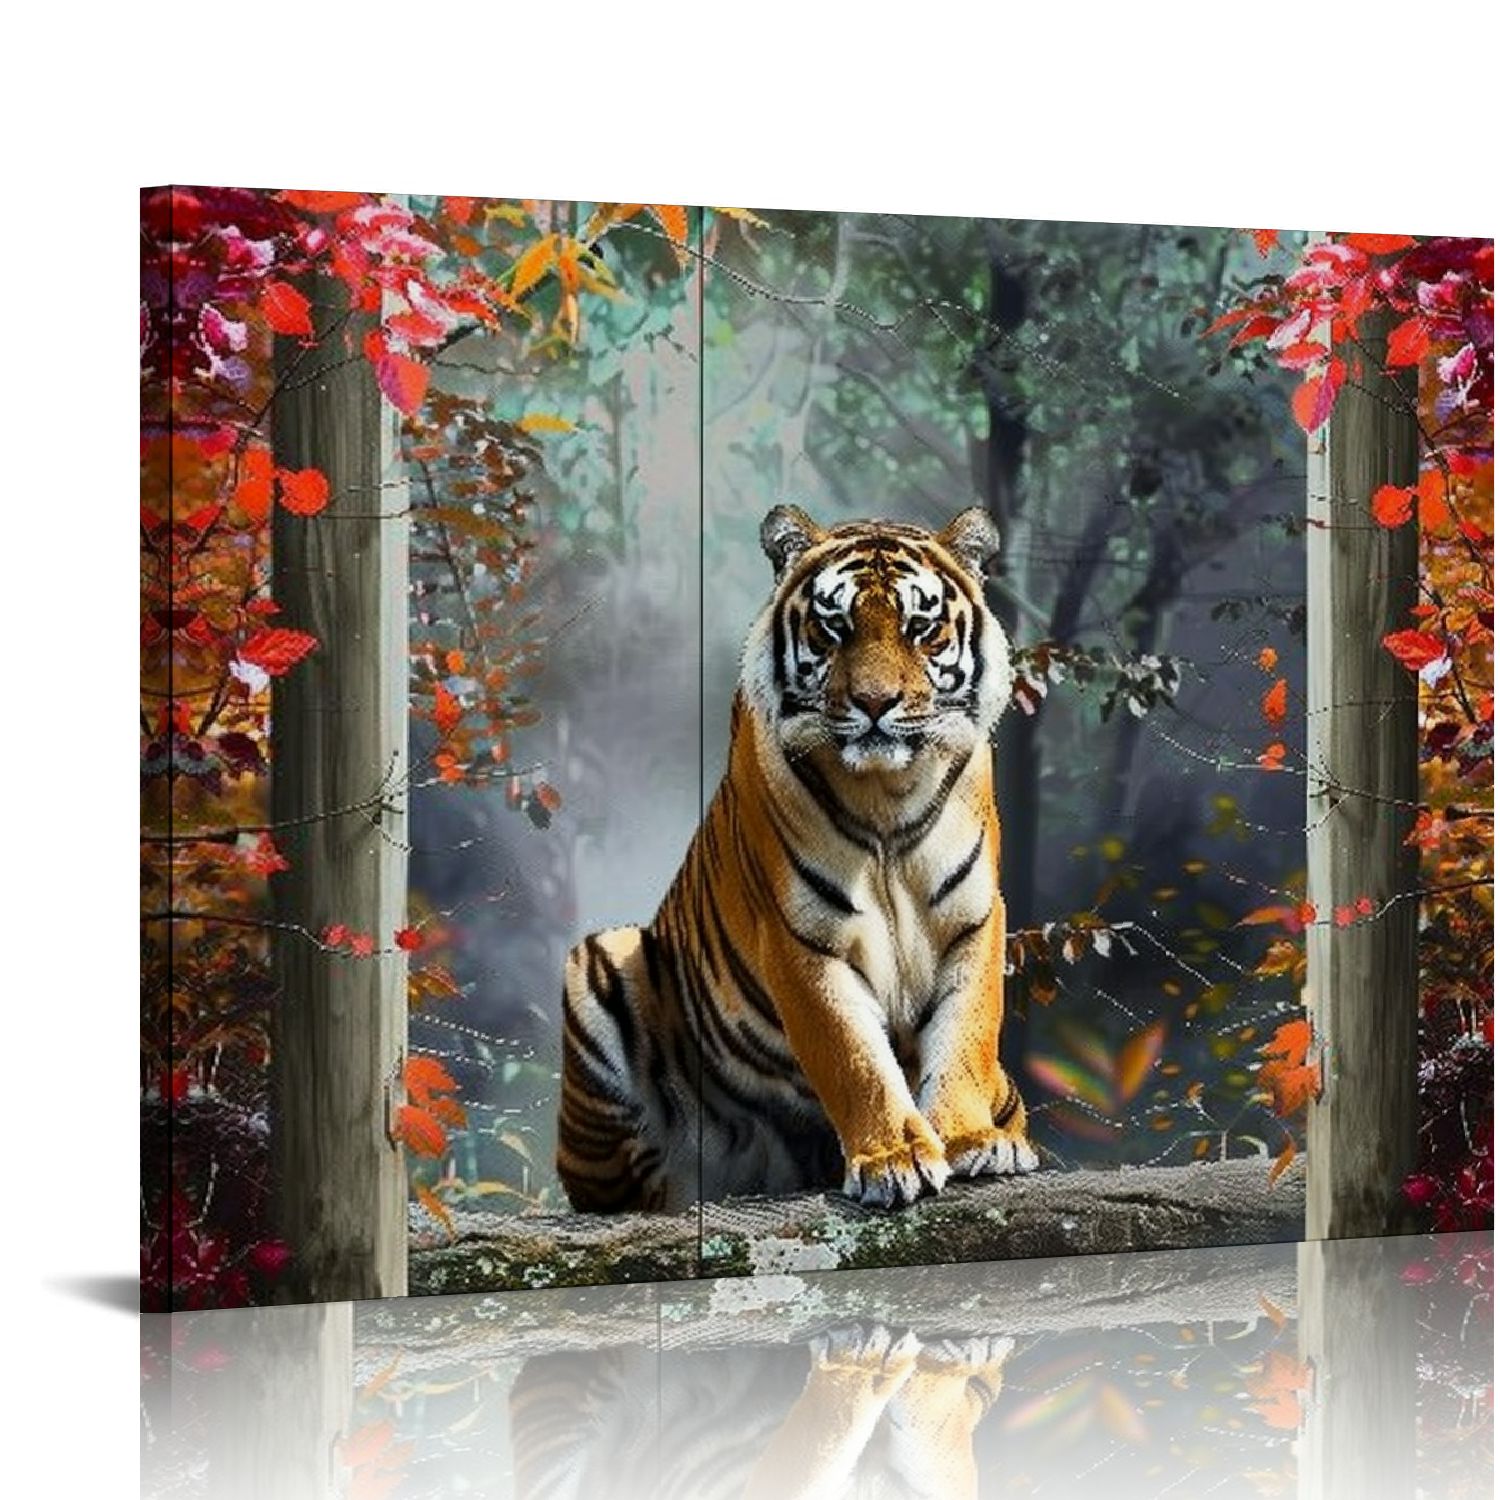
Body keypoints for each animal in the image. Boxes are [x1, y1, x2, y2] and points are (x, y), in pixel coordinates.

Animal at [557, 504, 1036, 1213]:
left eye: (920, 629)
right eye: (833, 627)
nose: (874, 703)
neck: (886, 795)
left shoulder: (974, 920)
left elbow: (965, 1035)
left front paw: (971, 1140)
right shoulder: (800, 937)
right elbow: (853, 1055)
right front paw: (894, 1157)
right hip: (601, 964)